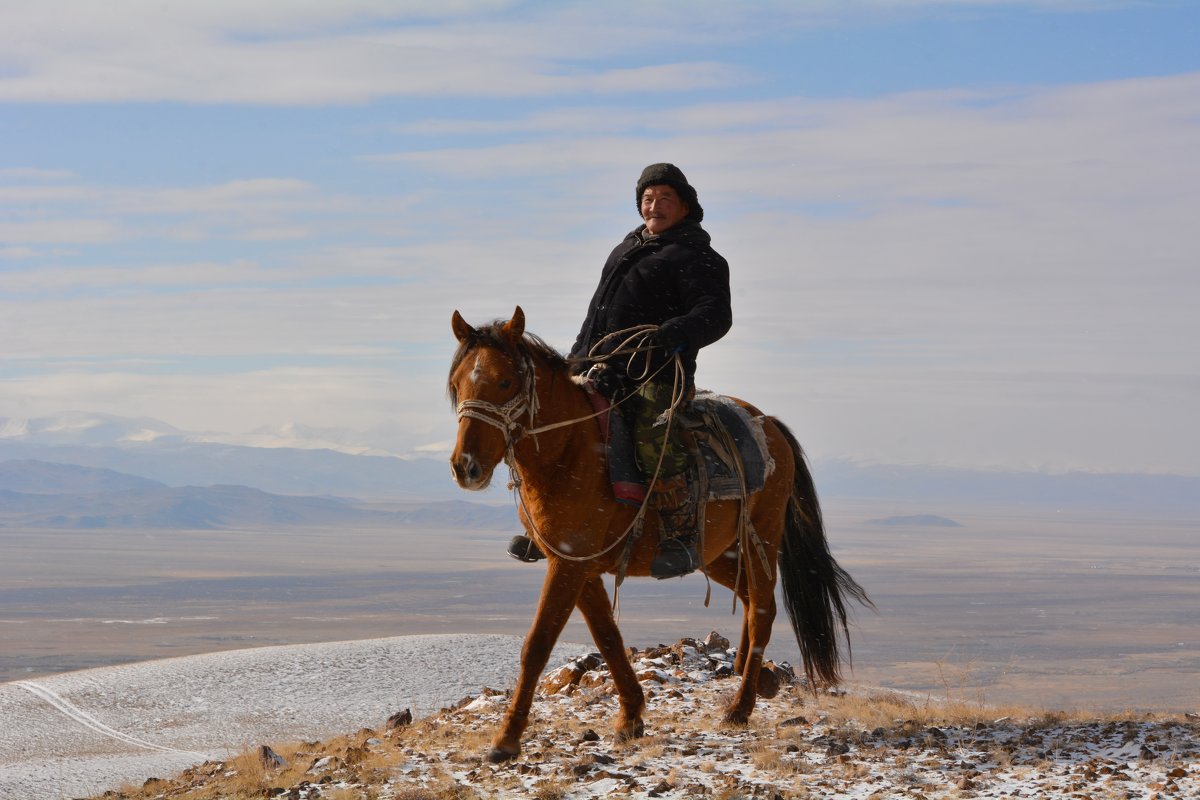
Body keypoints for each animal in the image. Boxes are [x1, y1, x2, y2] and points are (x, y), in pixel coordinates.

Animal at [446, 307, 868, 762]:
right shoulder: (580, 565)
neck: (570, 451)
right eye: (457, 385)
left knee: (762, 610)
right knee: (750, 599)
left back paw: (739, 708)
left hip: (763, 538)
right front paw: (631, 717)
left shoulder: (568, 563)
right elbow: (608, 637)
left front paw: (505, 740)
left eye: (505, 382)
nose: (465, 467)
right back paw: (743, 674)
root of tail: (769, 424)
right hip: (718, 554)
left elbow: (537, 645)